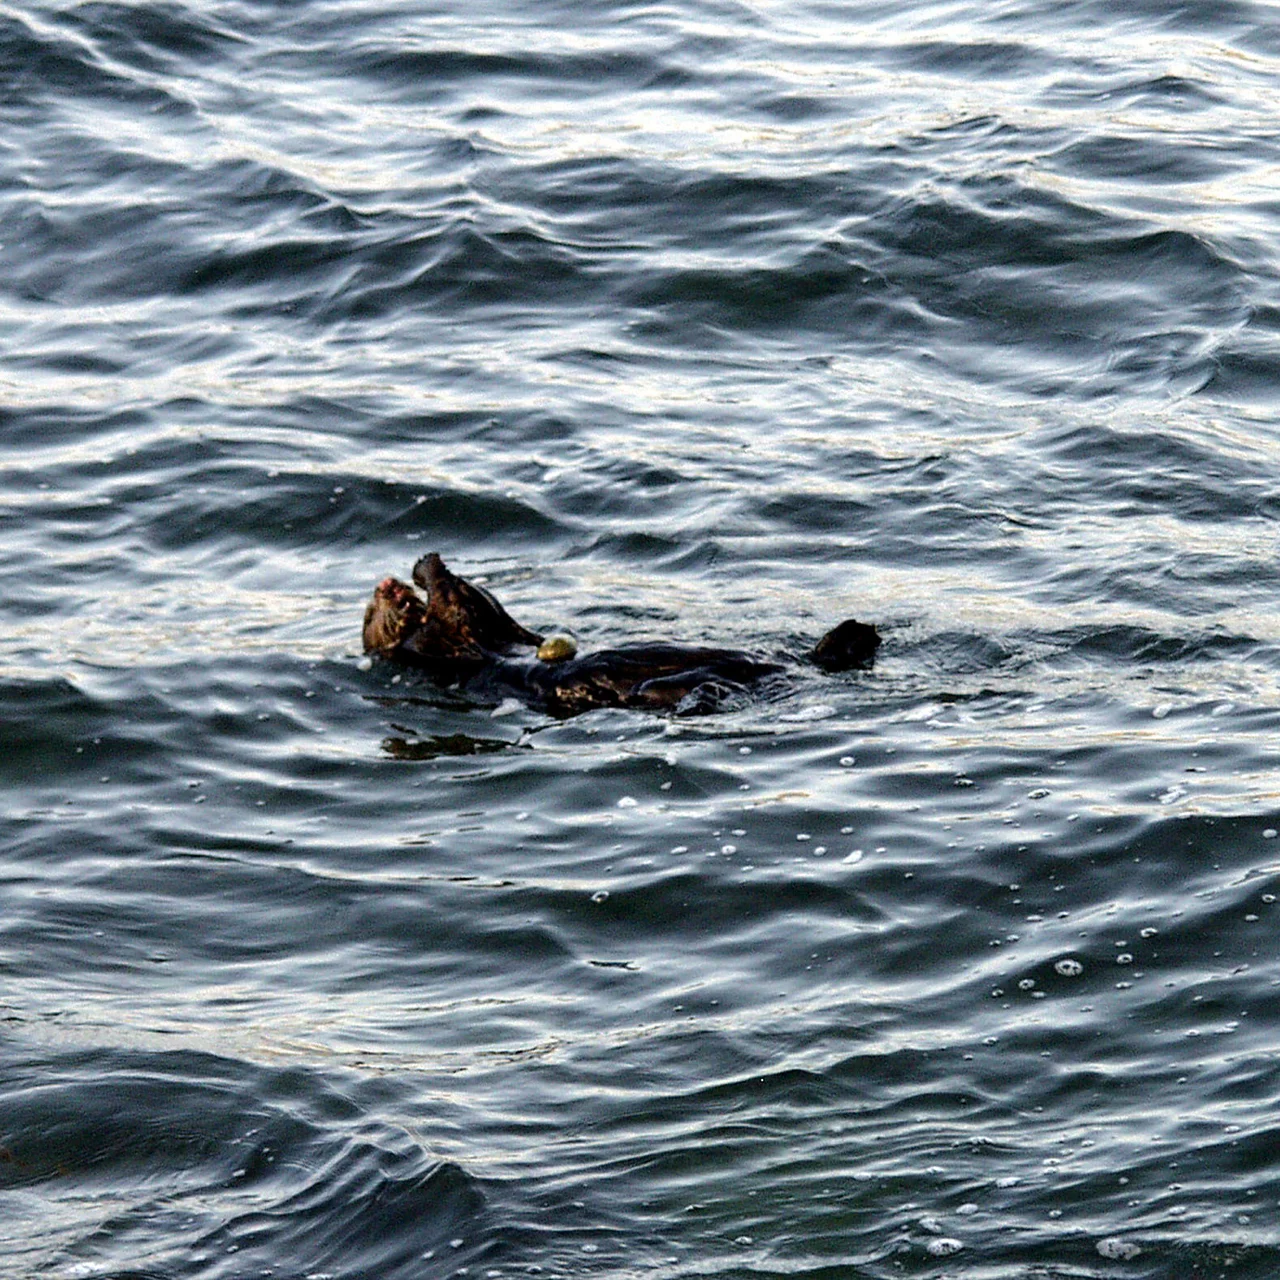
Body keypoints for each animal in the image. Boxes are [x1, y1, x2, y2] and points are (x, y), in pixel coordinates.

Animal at [363, 553, 880, 716]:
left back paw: (859, 634)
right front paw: (431, 578)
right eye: (369, 611)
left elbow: (490, 612)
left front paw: (427, 569)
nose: (385, 586)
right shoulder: (444, 646)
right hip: (666, 688)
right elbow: (456, 612)